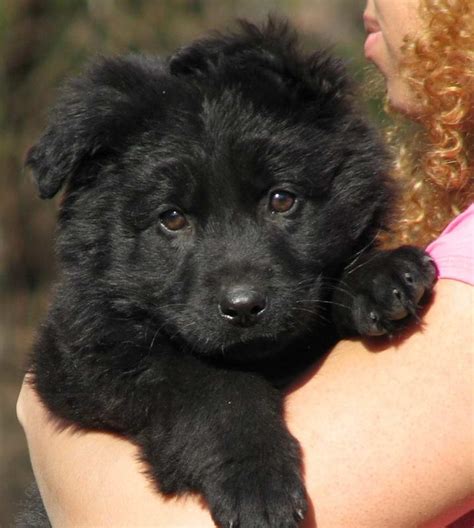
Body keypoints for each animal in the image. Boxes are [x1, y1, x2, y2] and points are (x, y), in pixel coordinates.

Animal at [24, 18, 436, 524]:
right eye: (172, 217)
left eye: (281, 199)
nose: (243, 307)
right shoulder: (87, 357)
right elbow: (211, 385)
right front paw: (256, 480)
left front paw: (378, 276)